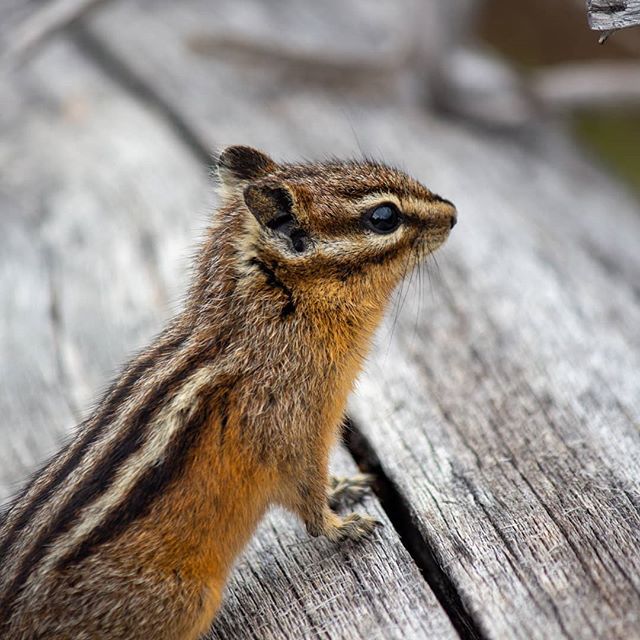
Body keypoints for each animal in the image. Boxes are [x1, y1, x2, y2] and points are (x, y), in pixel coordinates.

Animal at [0, 146, 456, 639]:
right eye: (384, 216)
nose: (452, 213)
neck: (268, 316)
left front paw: (345, 485)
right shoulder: (293, 433)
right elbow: (309, 503)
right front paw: (342, 527)